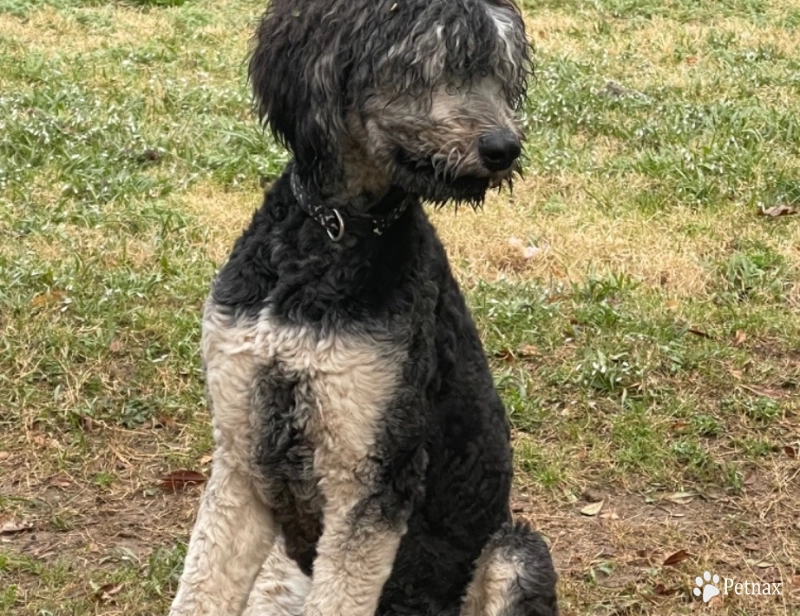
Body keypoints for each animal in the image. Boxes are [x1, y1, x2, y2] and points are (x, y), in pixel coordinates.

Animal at [169, 1, 556, 616]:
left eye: (501, 71)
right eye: (426, 62)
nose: (503, 148)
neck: (329, 236)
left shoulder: (372, 472)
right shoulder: (241, 452)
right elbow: (202, 586)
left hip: (514, 553)